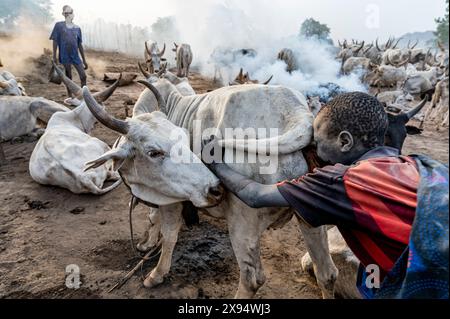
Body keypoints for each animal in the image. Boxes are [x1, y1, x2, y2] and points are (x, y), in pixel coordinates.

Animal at [82, 80, 340, 300]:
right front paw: (147, 243)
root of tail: (297, 114)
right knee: (327, 273)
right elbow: (153, 218)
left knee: (252, 279)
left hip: (242, 224)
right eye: (154, 152)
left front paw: (156, 274)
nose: (214, 188)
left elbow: (169, 235)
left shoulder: (171, 200)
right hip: (309, 214)